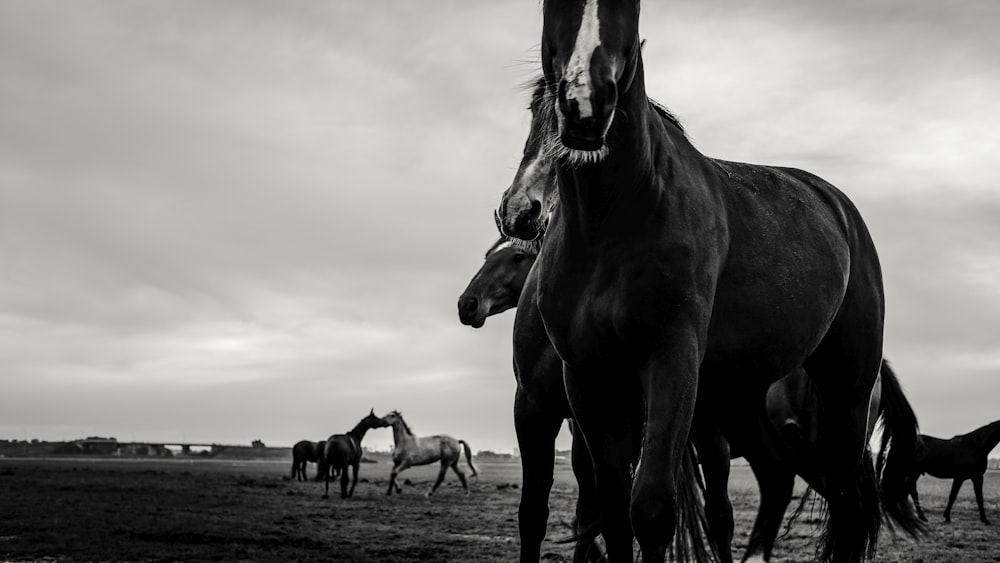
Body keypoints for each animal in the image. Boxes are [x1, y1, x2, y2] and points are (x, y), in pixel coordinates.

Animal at [496, 2, 924, 560]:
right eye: (533, 111)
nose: (585, 103)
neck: (610, 226)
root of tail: (838, 207)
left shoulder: (671, 363)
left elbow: (651, 510)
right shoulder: (588, 380)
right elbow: (610, 513)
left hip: (845, 393)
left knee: (848, 502)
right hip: (742, 398)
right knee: (783, 478)